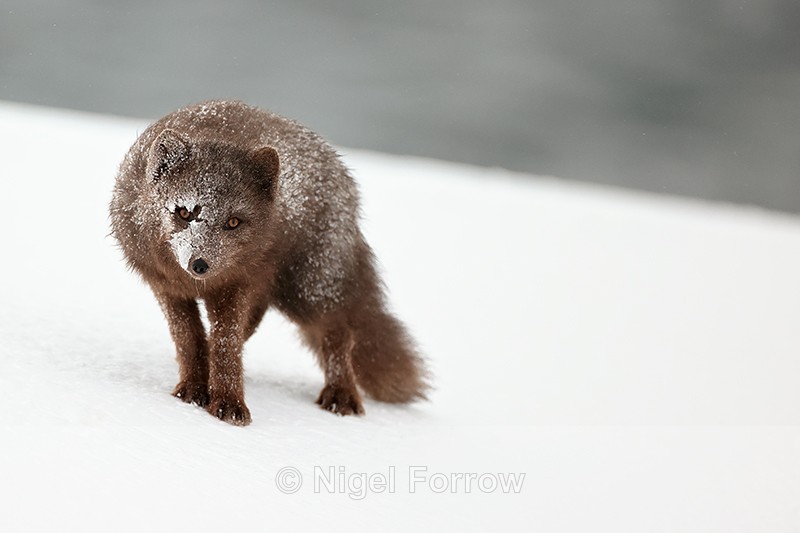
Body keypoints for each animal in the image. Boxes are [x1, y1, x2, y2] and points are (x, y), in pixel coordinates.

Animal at [110, 100, 428, 426]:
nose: (200, 265)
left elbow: (226, 342)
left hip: (307, 290)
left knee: (339, 330)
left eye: (233, 222)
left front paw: (227, 406)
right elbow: (189, 338)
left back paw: (341, 397)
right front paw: (193, 391)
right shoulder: (166, 286)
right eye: (184, 212)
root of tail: (341, 169)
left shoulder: (236, 285)